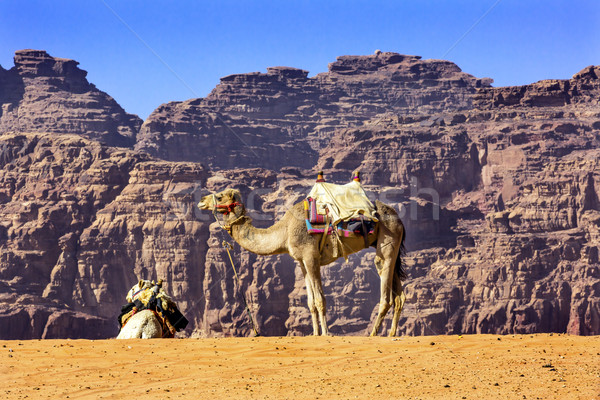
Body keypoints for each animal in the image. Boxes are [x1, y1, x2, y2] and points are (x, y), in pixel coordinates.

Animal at [199, 186, 406, 336]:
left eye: (220, 196)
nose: (201, 201)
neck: (284, 232)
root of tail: (399, 220)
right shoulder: (302, 262)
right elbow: (310, 302)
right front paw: (314, 334)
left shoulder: (310, 256)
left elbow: (320, 299)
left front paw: (326, 333)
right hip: (393, 248)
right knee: (399, 297)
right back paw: (392, 333)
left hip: (387, 242)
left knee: (385, 290)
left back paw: (373, 334)